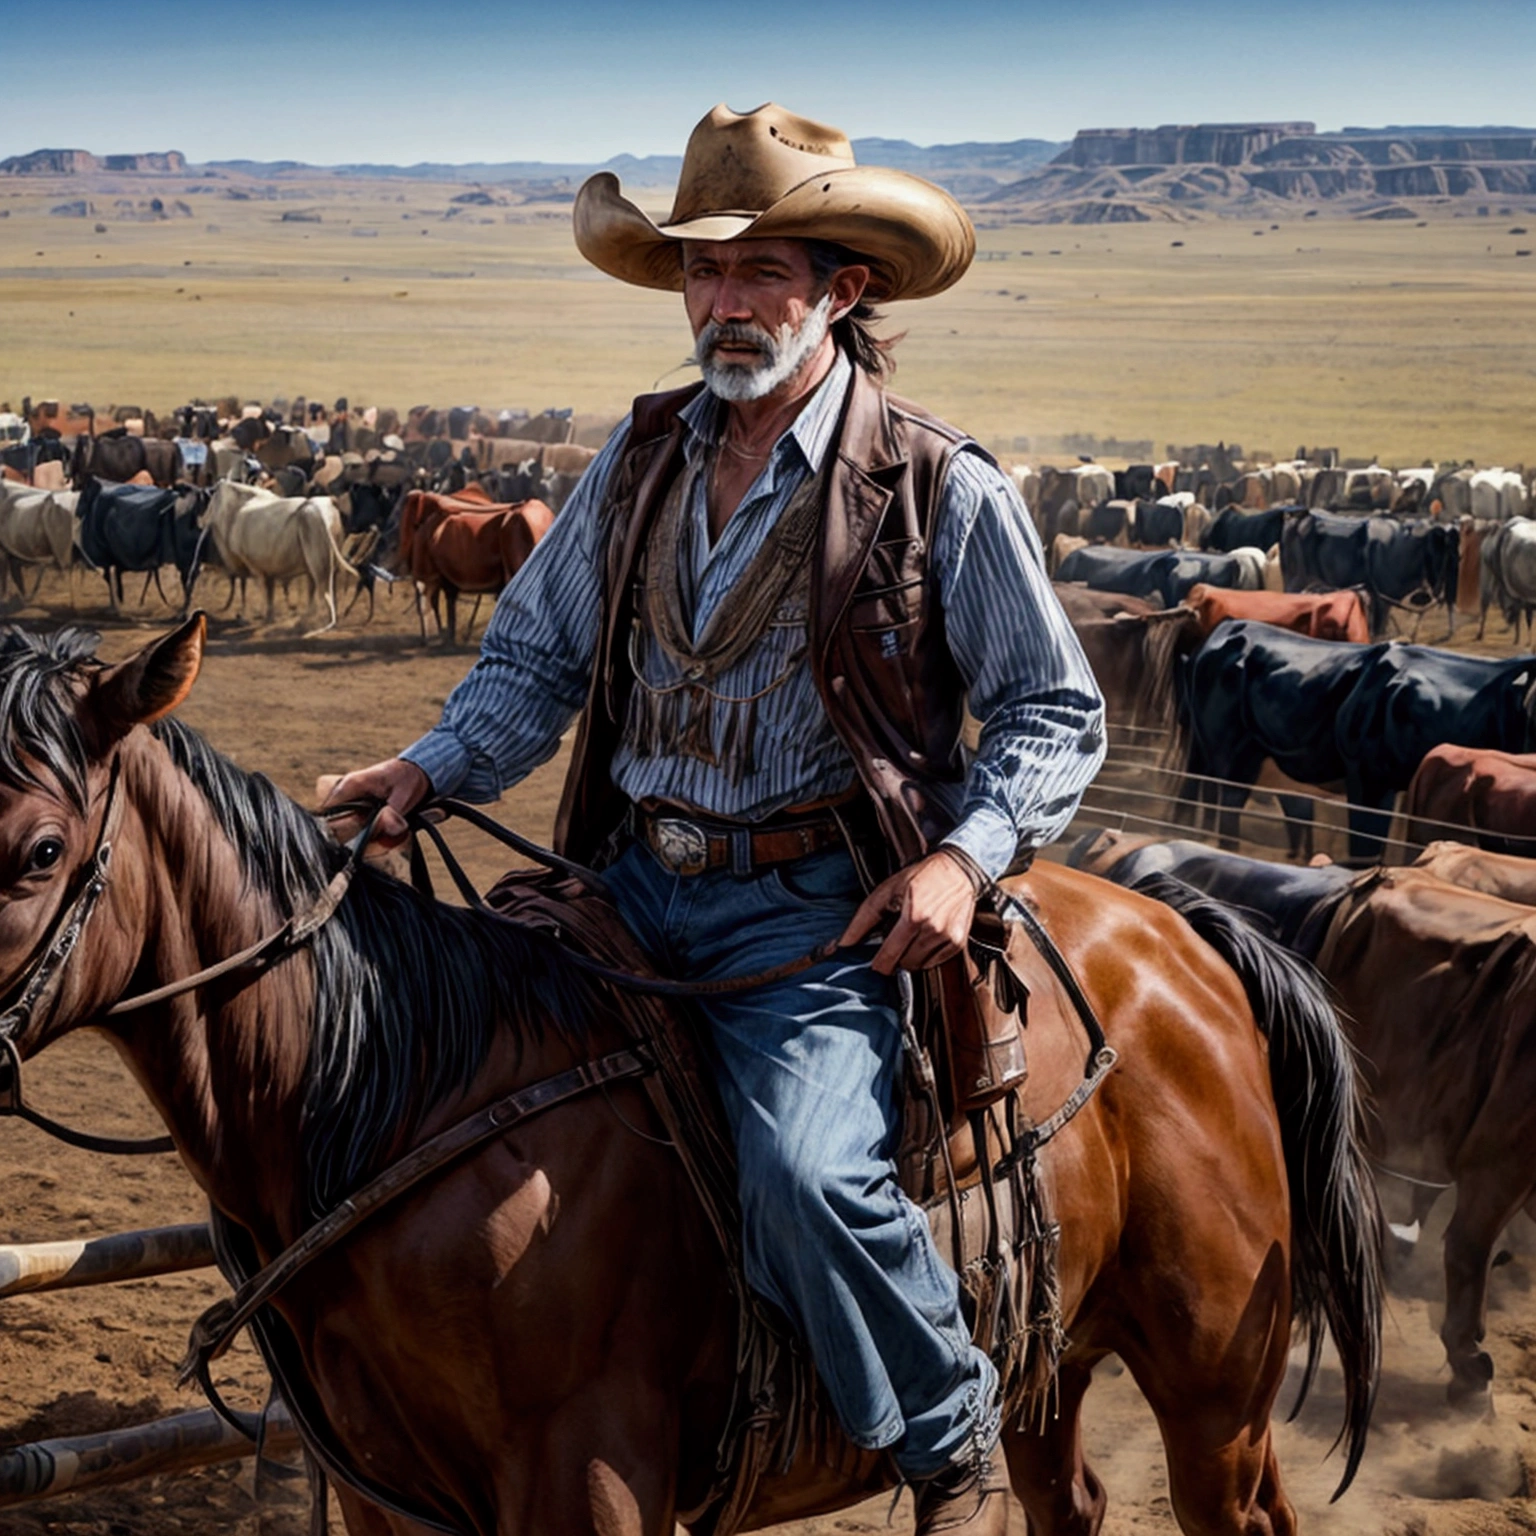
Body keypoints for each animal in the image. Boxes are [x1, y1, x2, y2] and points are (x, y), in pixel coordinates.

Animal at [0, 617, 1388, 1529]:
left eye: (42, 850)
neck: (399, 1096)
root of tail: (1188, 936)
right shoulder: (391, 1495)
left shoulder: (590, 1473)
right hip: (1055, 1357)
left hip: (1212, 1394)